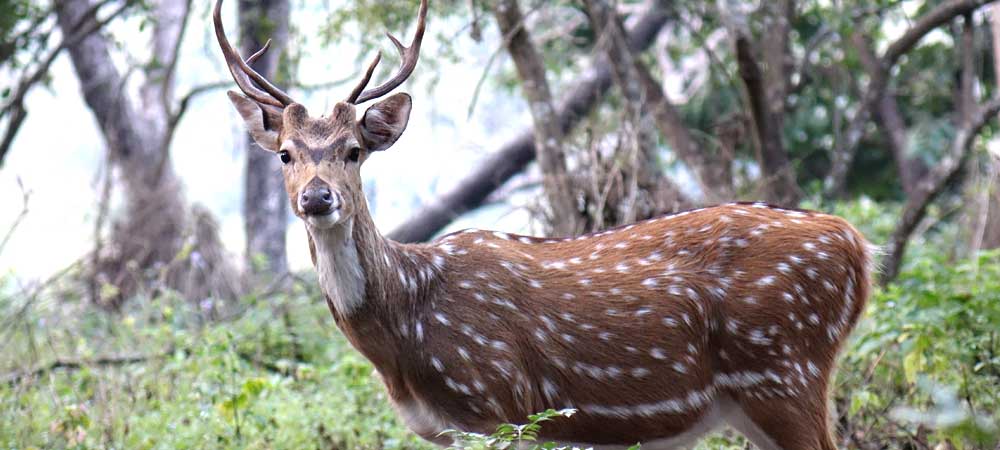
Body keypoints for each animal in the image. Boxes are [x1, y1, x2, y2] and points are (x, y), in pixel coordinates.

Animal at [213, 1, 876, 448]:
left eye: (354, 150)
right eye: (285, 154)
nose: (316, 197)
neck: (405, 330)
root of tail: (858, 249)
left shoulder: (502, 404)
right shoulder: (444, 431)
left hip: (786, 366)